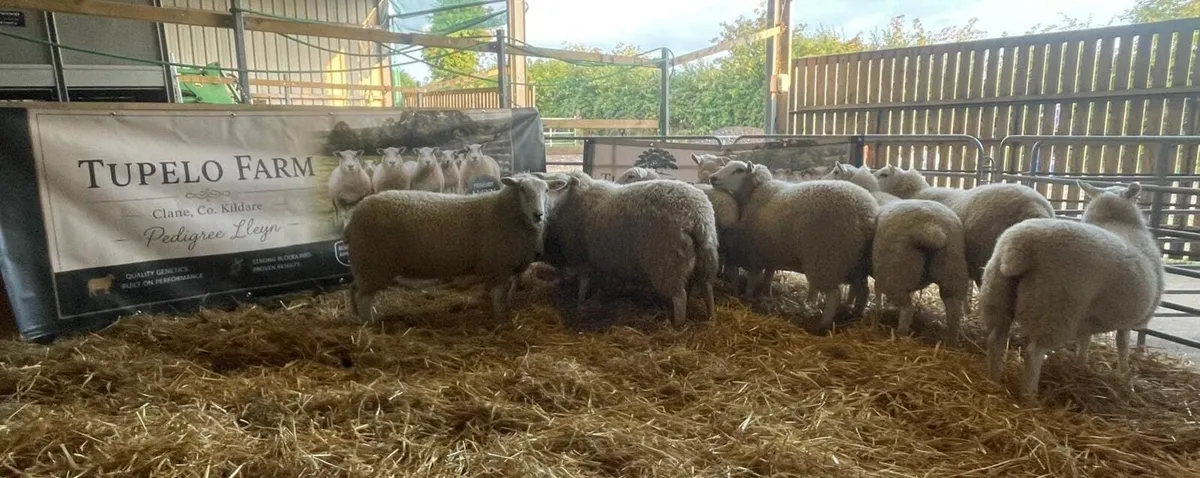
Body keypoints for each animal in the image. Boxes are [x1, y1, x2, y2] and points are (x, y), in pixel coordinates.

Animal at [344, 173, 568, 323]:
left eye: (546, 191)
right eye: (522, 189)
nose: (539, 214)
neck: (504, 211)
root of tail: (354, 216)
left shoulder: (507, 266)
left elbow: (507, 293)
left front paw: (503, 312)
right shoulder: (497, 265)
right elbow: (498, 296)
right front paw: (499, 320)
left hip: (365, 267)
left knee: (354, 288)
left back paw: (357, 316)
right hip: (374, 263)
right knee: (363, 297)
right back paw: (370, 323)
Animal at [542, 172, 719, 326]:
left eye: (561, 186)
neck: (576, 198)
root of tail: (696, 216)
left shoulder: (582, 256)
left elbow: (583, 283)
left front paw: (580, 302)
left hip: (667, 263)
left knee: (680, 297)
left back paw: (677, 324)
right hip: (706, 255)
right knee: (707, 288)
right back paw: (710, 316)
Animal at [709, 160, 878, 328]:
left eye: (739, 170)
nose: (712, 177)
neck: (753, 194)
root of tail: (867, 214)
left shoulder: (754, 252)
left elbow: (753, 278)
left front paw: (748, 296)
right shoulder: (770, 250)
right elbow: (768, 275)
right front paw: (766, 293)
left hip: (827, 259)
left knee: (835, 295)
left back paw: (823, 324)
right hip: (856, 263)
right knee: (863, 292)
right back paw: (855, 315)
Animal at [980, 181, 1163, 402]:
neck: (1115, 222)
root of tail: (1018, 250)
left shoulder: (1087, 316)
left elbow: (1085, 340)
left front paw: (1081, 365)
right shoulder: (1125, 322)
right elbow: (1122, 344)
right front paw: (1124, 373)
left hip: (997, 295)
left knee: (996, 339)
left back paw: (994, 379)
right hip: (1055, 308)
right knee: (1033, 353)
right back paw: (1030, 396)